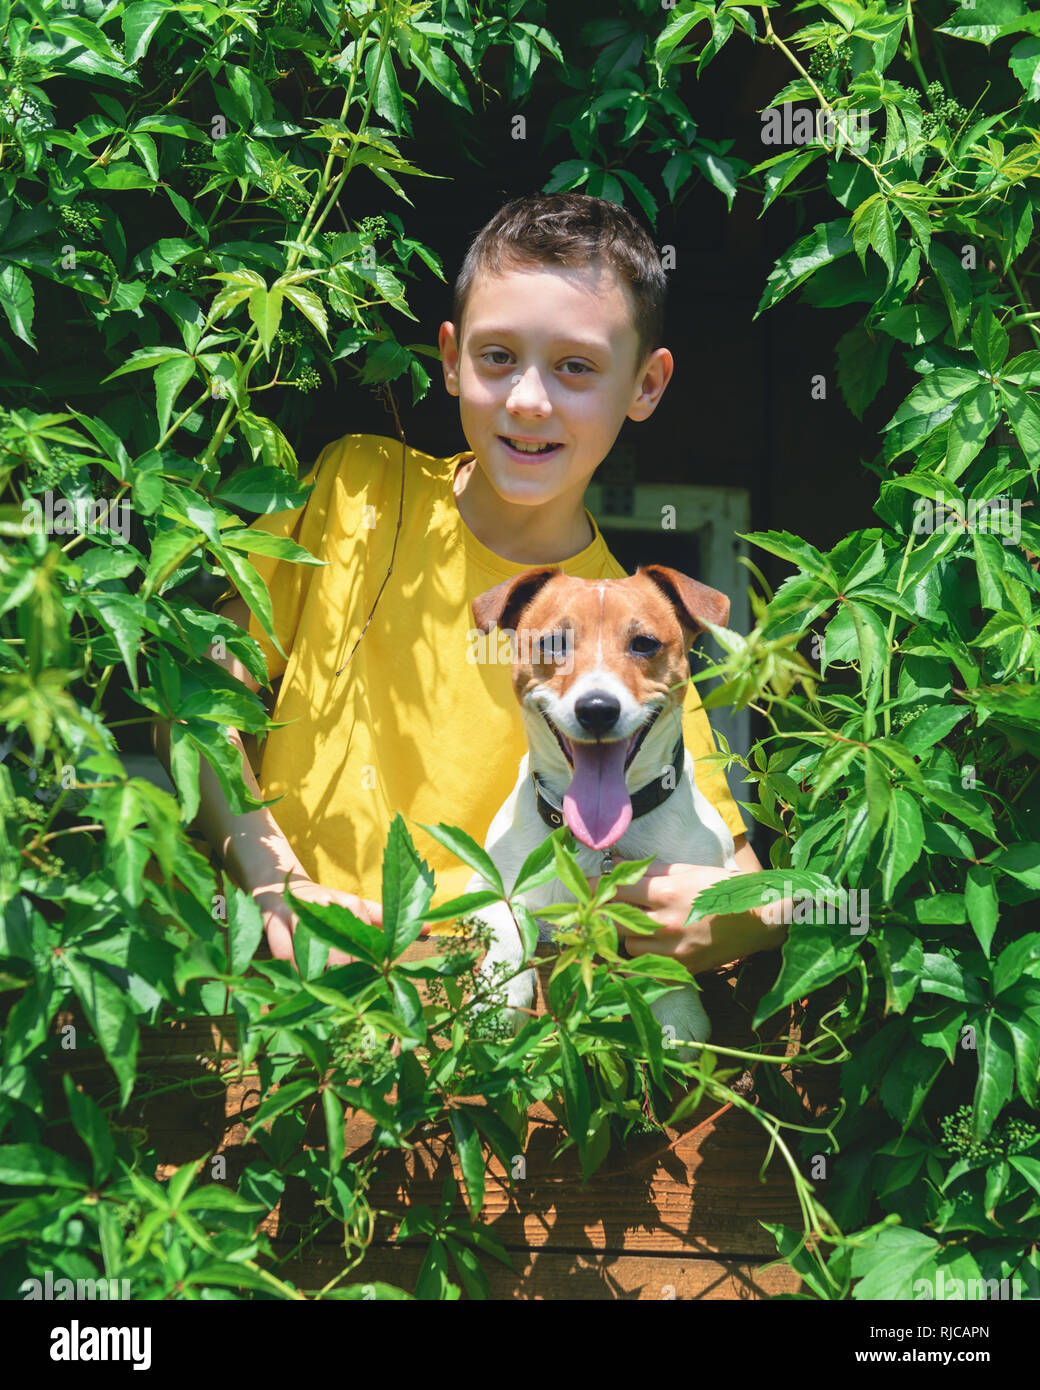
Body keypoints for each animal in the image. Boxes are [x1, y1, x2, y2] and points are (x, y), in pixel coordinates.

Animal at [464, 561, 739, 1045]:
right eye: (554, 643)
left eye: (644, 643)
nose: (596, 708)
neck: (599, 842)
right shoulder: (480, 885)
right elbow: (508, 916)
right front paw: (501, 996)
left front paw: (676, 1008)